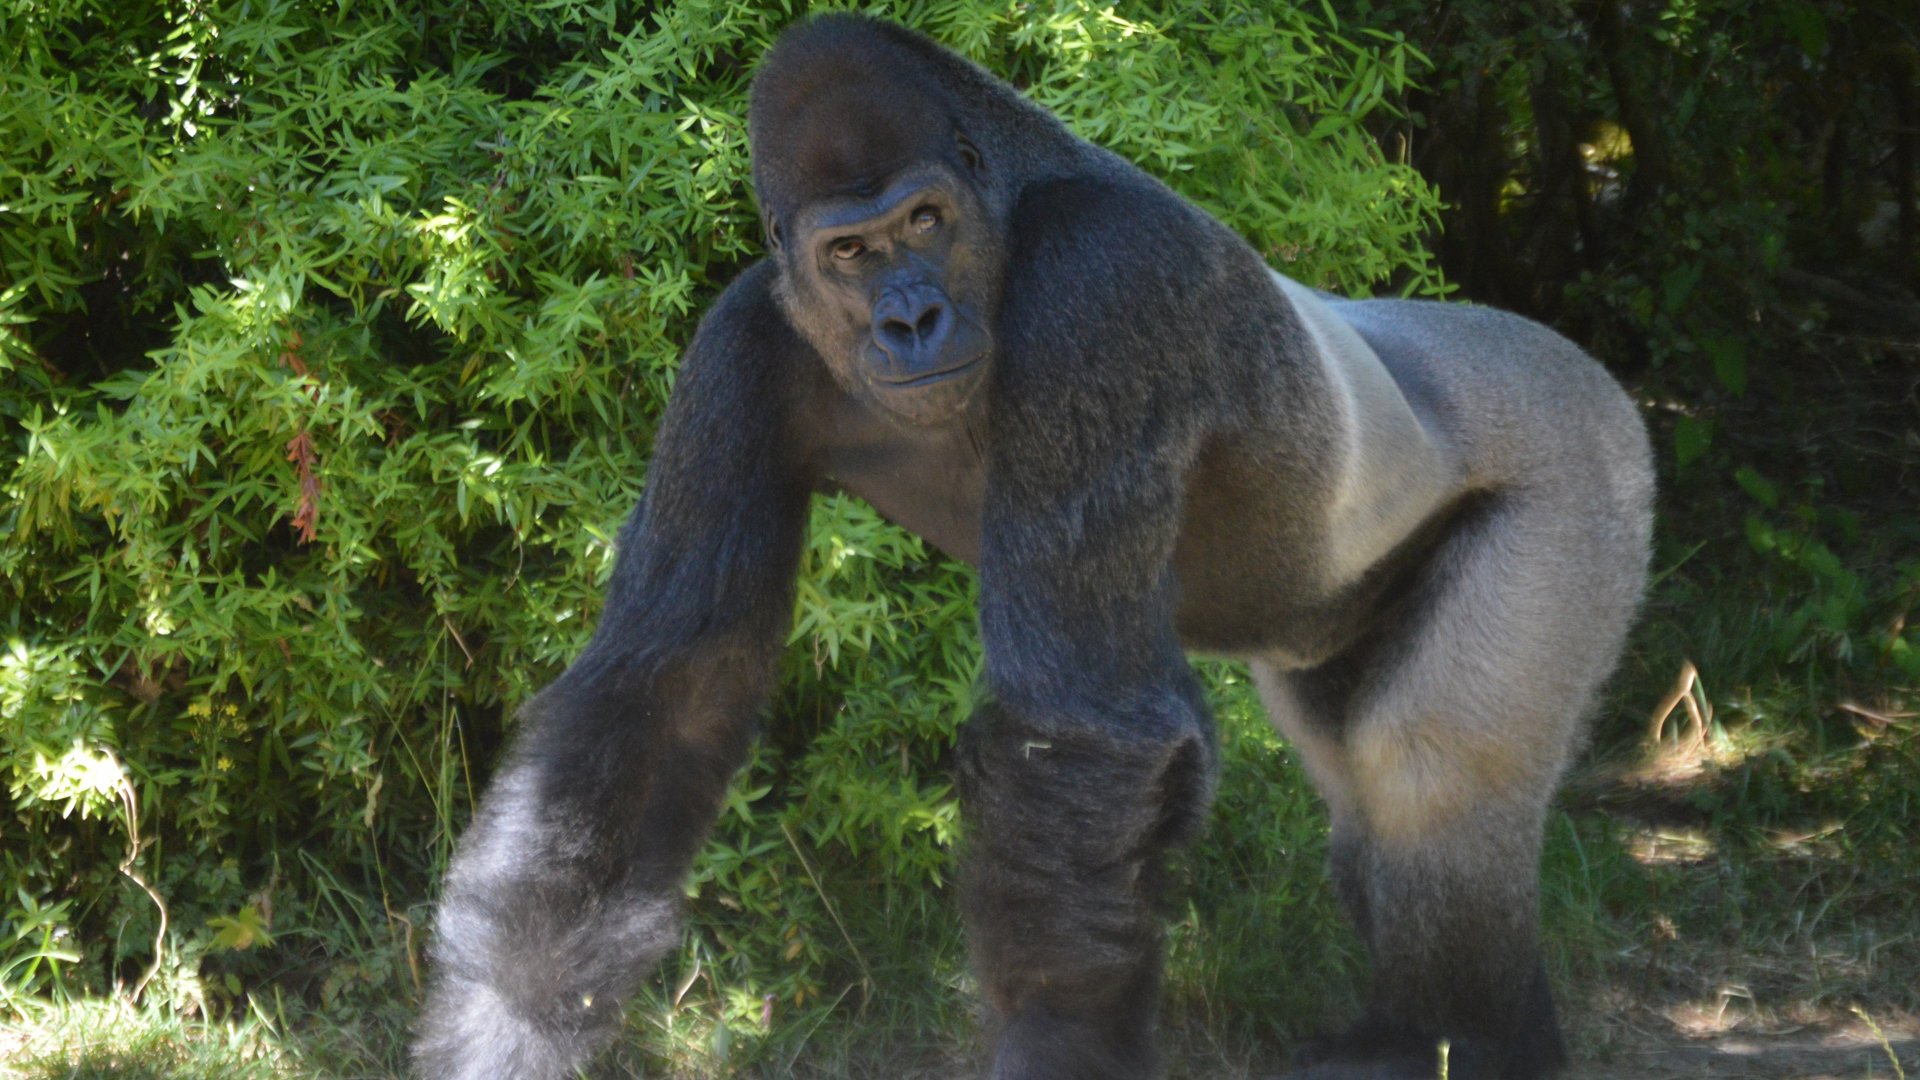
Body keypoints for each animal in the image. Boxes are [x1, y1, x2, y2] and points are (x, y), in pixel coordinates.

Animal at [413, 14, 1653, 1080]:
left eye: (925, 222)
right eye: (849, 251)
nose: (911, 318)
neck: (1000, 212)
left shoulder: (1101, 282)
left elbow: (1078, 722)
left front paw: (1057, 1040)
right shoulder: (740, 347)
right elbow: (669, 687)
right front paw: (509, 1021)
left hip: (1587, 458)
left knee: (1429, 765)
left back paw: (1477, 1042)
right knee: (1361, 788)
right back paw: (1427, 1032)